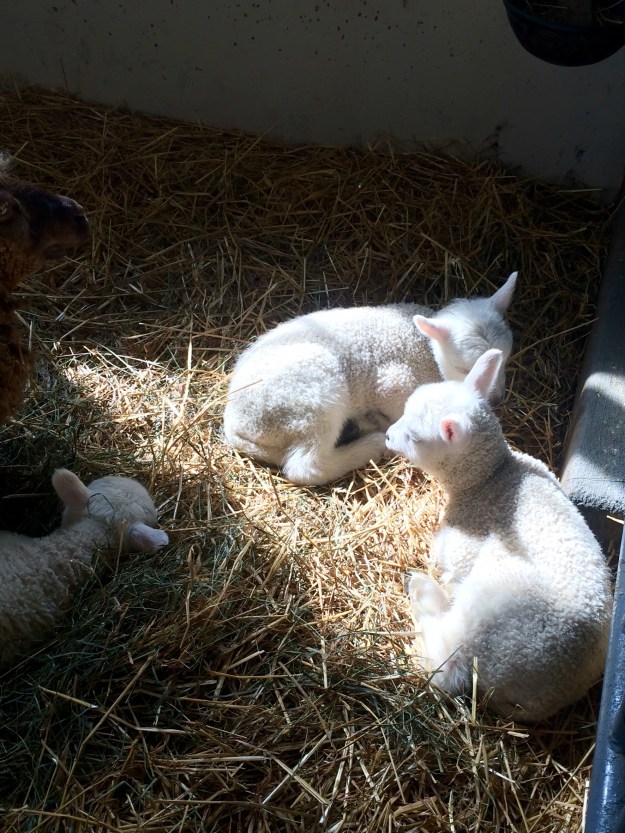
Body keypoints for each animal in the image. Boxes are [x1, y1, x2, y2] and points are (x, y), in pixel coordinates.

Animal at [223, 272, 517, 486]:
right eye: (463, 367)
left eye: (506, 358)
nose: (496, 399)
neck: (424, 347)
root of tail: (234, 421)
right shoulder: (393, 383)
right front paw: (383, 425)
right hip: (309, 396)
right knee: (306, 467)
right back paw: (370, 444)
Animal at [385, 349, 613, 722]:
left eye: (416, 437)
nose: (388, 436)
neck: (490, 477)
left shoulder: (461, 546)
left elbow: (447, 563)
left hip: (483, 617)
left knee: (446, 667)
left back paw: (422, 593)